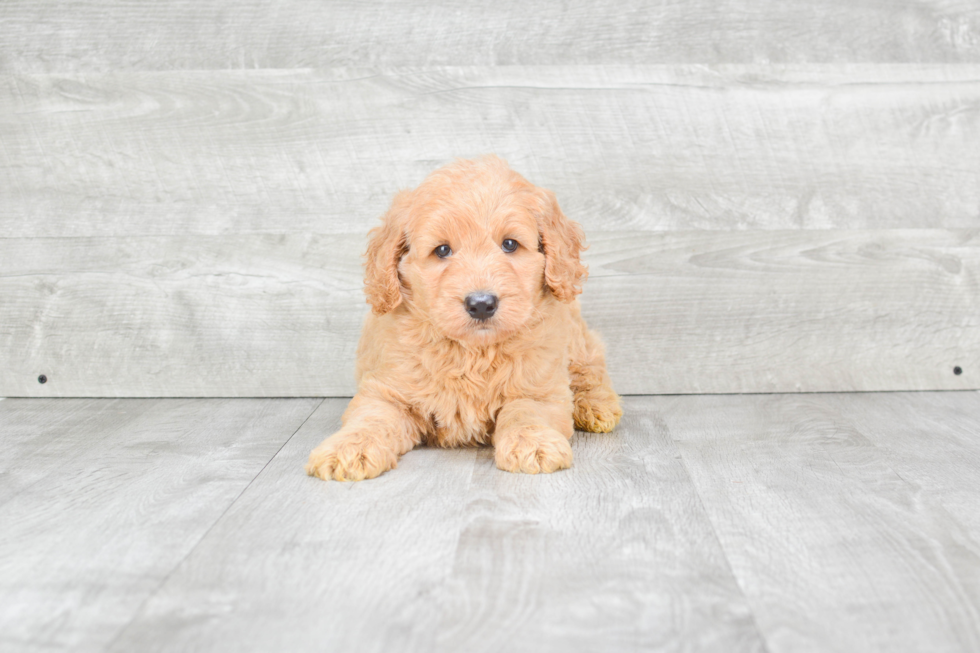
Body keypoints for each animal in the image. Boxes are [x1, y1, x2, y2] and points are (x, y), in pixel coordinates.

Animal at [306, 153, 620, 478]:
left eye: (510, 244)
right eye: (442, 250)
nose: (481, 304)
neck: (473, 352)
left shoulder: (541, 389)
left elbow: (525, 410)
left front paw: (532, 442)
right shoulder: (386, 390)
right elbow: (372, 417)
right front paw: (347, 448)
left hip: (576, 336)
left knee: (590, 366)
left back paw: (596, 407)